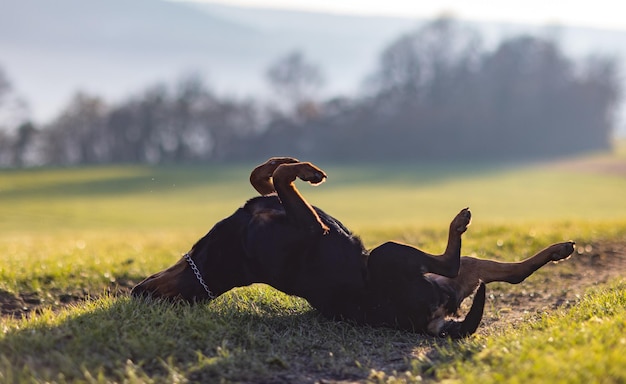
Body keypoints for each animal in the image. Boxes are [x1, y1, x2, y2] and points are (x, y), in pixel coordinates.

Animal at [132, 158, 576, 338]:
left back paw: (558, 249)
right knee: (451, 260)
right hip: (388, 255)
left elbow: (264, 175)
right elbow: (281, 177)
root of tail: (426, 323)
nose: (136, 289)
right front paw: (304, 170)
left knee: (511, 272)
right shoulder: (311, 225)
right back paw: (459, 223)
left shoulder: (283, 207)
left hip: (451, 272)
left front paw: (294, 165)